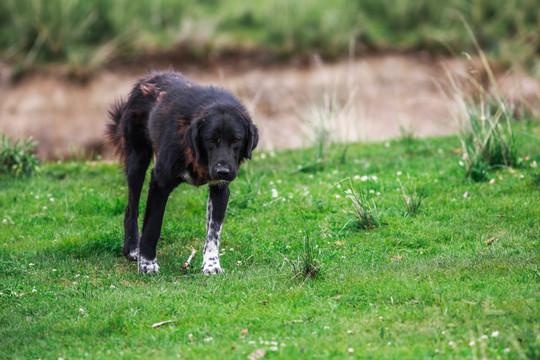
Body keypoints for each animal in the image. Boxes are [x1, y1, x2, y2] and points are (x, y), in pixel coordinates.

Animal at [107, 71, 260, 274]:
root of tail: (146, 78)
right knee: (131, 209)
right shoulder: (159, 182)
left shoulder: (220, 189)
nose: (223, 171)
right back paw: (132, 249)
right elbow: (152, 226)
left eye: (236, 140)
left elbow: (213, 232)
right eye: (211, 140)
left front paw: (211, 265)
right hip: (137, 163)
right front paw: (147, 264)